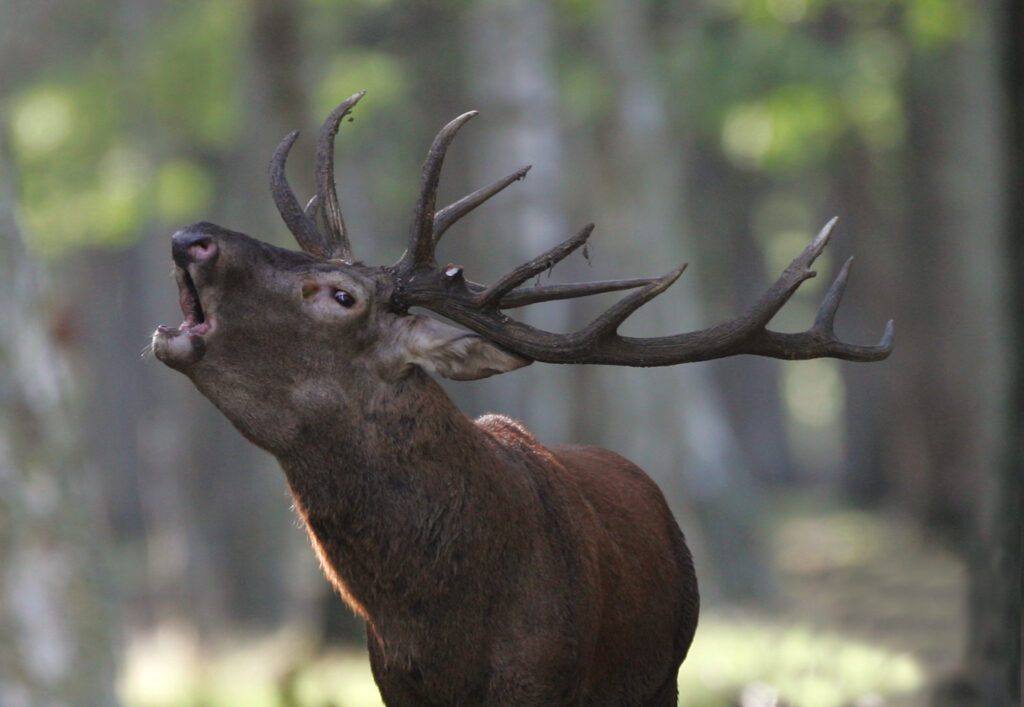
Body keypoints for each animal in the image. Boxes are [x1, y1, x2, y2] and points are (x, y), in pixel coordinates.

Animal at [152, 91, 893, 706]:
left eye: (342, 295)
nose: (191, 235)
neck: (442, 629)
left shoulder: (546, 680)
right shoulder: (392, 688)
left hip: (666, 673)